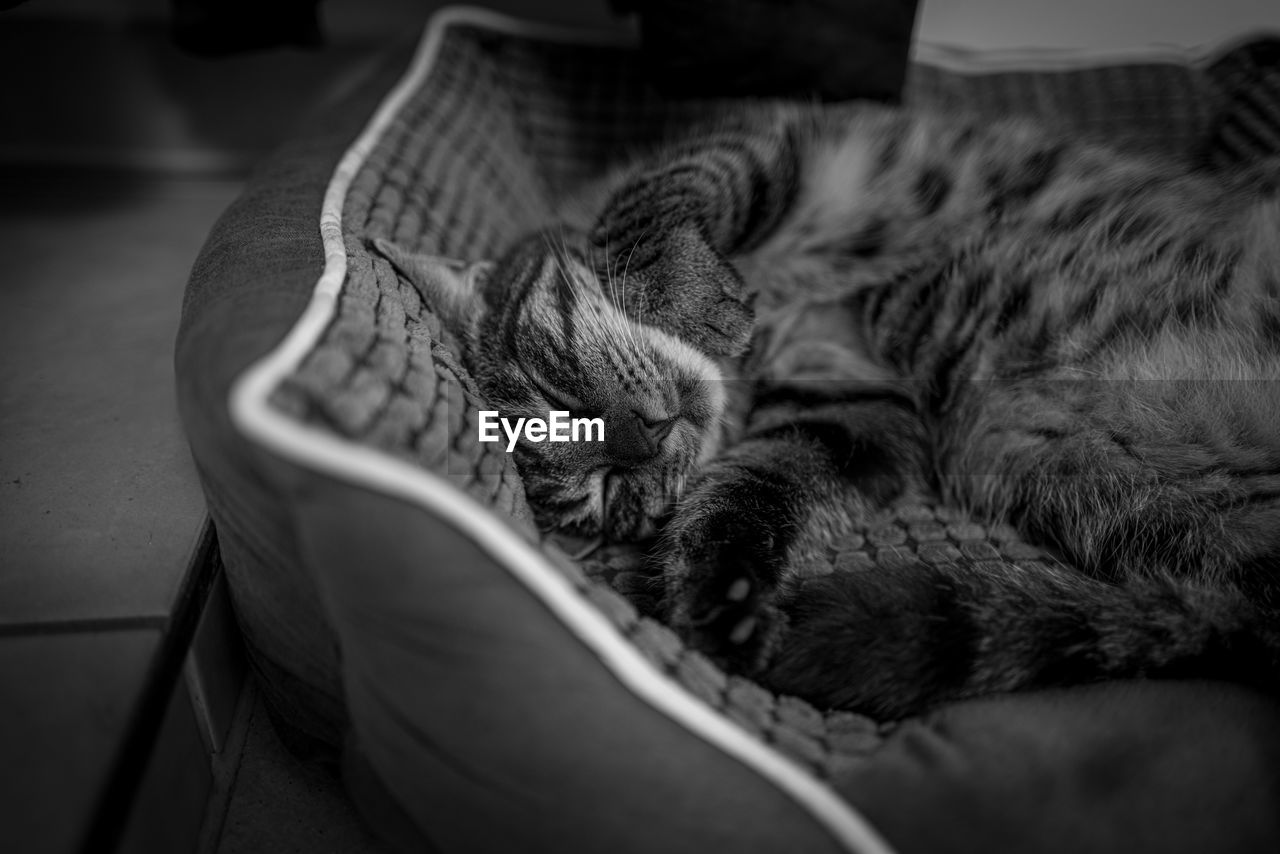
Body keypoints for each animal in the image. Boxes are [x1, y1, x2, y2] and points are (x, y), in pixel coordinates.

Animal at [373, 101, 1280, 722]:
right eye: (609, 493)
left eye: (558, 392)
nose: (644, 433)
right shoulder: (858, 410)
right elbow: (759, 481)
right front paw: (720, 588)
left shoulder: (787, 146)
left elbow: (651, 206)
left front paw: (694, 298)